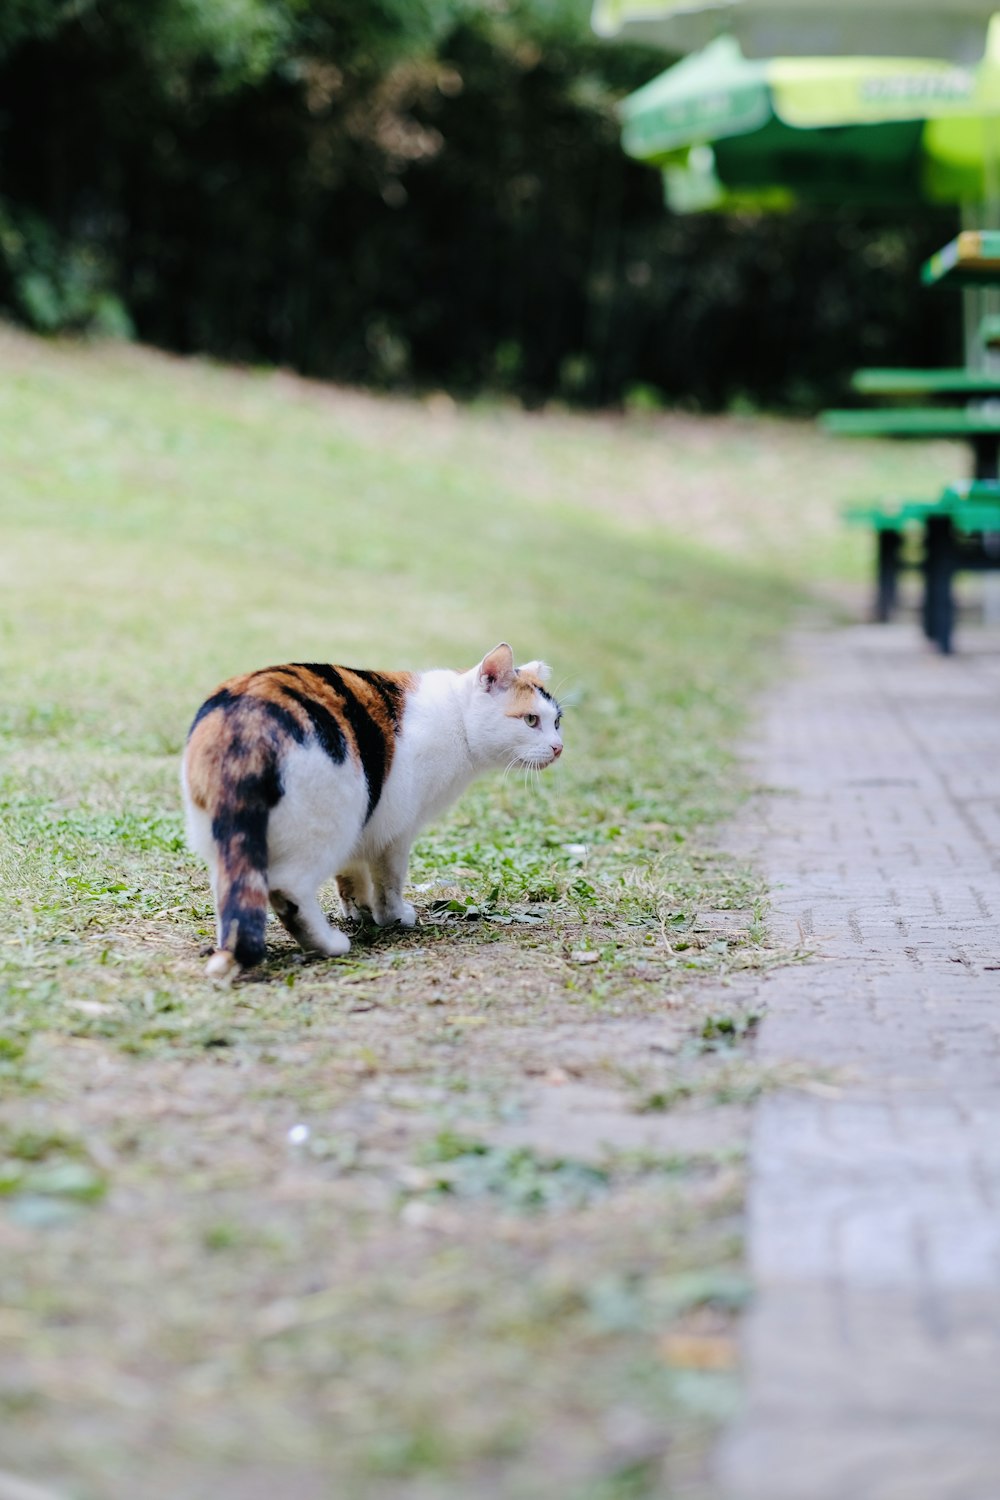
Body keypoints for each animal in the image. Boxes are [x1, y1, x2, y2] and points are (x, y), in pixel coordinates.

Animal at [182, 642, 563, 972]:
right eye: (531, 720)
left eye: (557, 721)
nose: (559, 747)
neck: (457, 719)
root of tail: (246, 725)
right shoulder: (396, 829)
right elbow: (389, 880)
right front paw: (392, 915)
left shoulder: (367, 822)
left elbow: (352, 874)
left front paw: (359, 911)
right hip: (329, 821)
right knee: (288, 888)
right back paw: (328, 943)